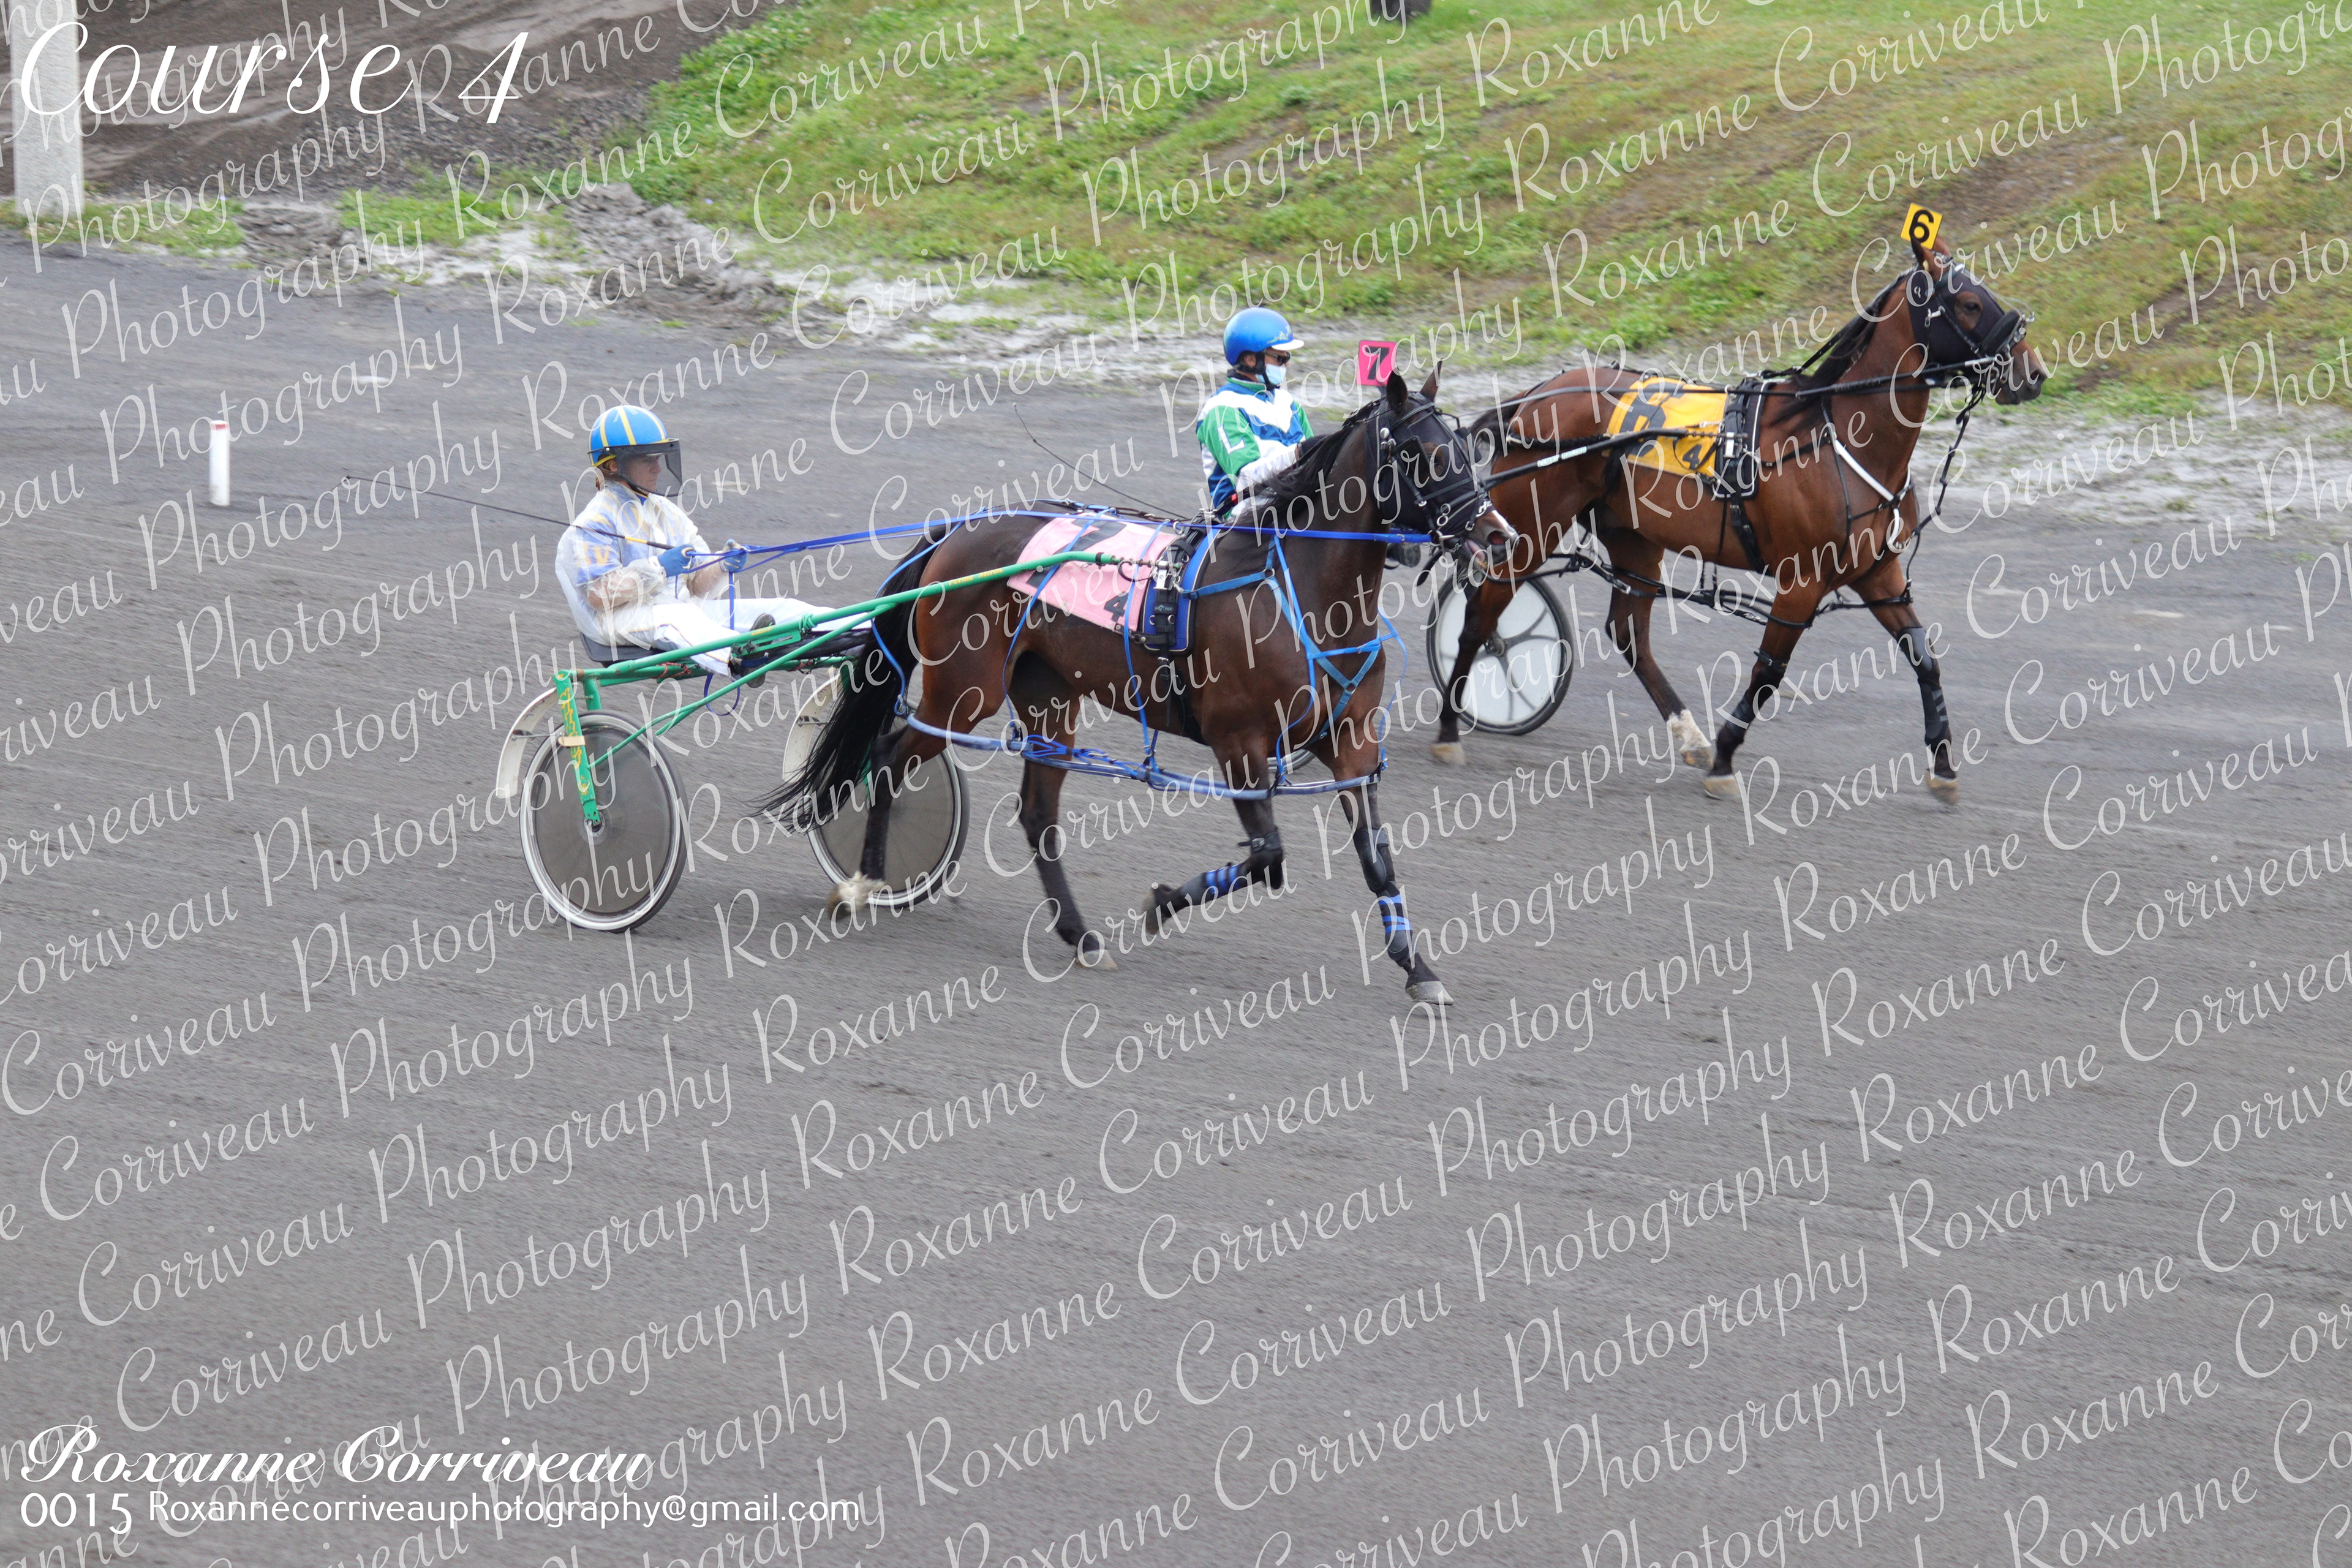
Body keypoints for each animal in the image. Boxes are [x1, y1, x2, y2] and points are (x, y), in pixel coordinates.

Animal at [764, 370, 1512, 1004]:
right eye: (1417, 451)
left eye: (1464, 447)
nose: (1498, 533)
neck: (1299, 593)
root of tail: (957, 532)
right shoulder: (1240, 744)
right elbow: (1268, 856)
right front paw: (1161, 903)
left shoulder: (1351, 744)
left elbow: (1377, 862)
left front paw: (1420, 970)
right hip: (962, 693)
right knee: (889, 761)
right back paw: (863, 884)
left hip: (1048, 698)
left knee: (1038, 813)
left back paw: (1081, 936)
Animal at [1435, 227, 2046, 801]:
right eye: (1969, 302)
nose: (2034, 371)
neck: (1836, 439)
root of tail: (1533, 398)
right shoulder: (1801, 580)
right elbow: (1768, 672)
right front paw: (1728, 757)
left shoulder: (1879, 573)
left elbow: (1924, 657)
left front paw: (1943, 766)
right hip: (1528, 531)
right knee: (1481, 617)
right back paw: (1448, 726)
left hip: (1633, 536)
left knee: (1628, 632)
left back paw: (1689, 735)